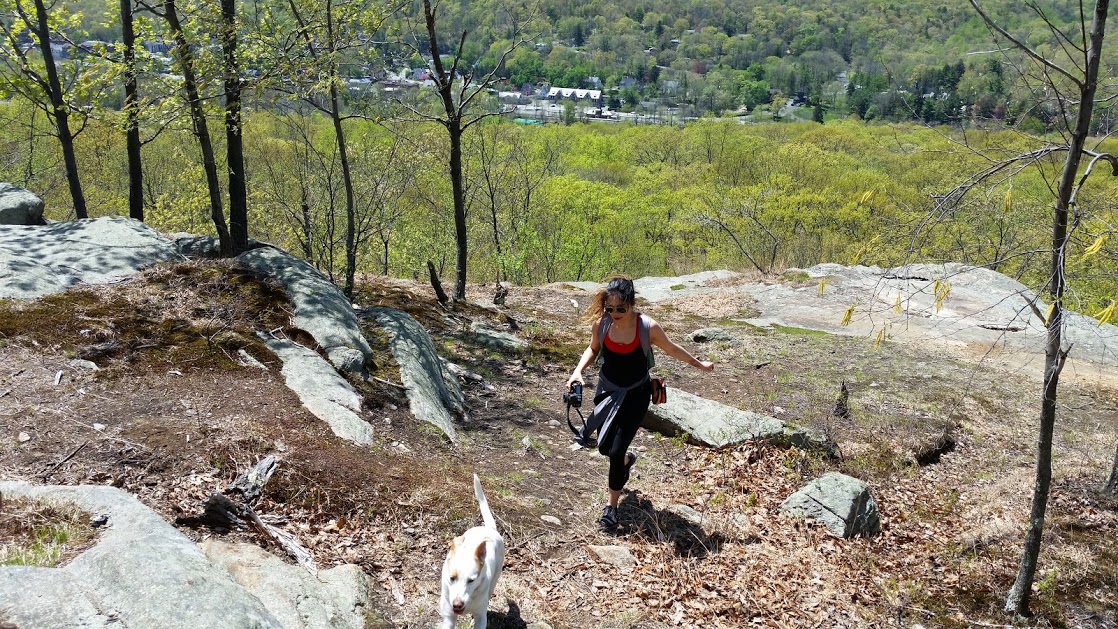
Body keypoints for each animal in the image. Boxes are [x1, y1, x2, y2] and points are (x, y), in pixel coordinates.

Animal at [440, 474, 505, 629]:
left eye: (471, 580)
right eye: (452, 578)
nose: (457, 605)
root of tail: (489, 528)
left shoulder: (481, 617)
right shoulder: (448, 618)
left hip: (494, 581)